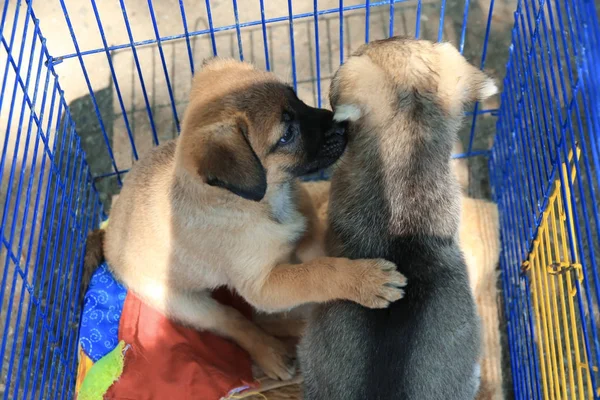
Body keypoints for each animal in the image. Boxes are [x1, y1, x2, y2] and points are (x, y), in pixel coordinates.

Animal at [102, 58, 408, 382]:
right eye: (286, 136)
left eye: (298, 99)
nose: (343, 124)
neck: (266, 203)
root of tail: (109, 234)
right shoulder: (261, 286)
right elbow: (318, 273)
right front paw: (366, 279)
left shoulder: (308, 230)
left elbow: (322, 255)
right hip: (183, 302)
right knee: (234, 320)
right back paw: (271, 352)